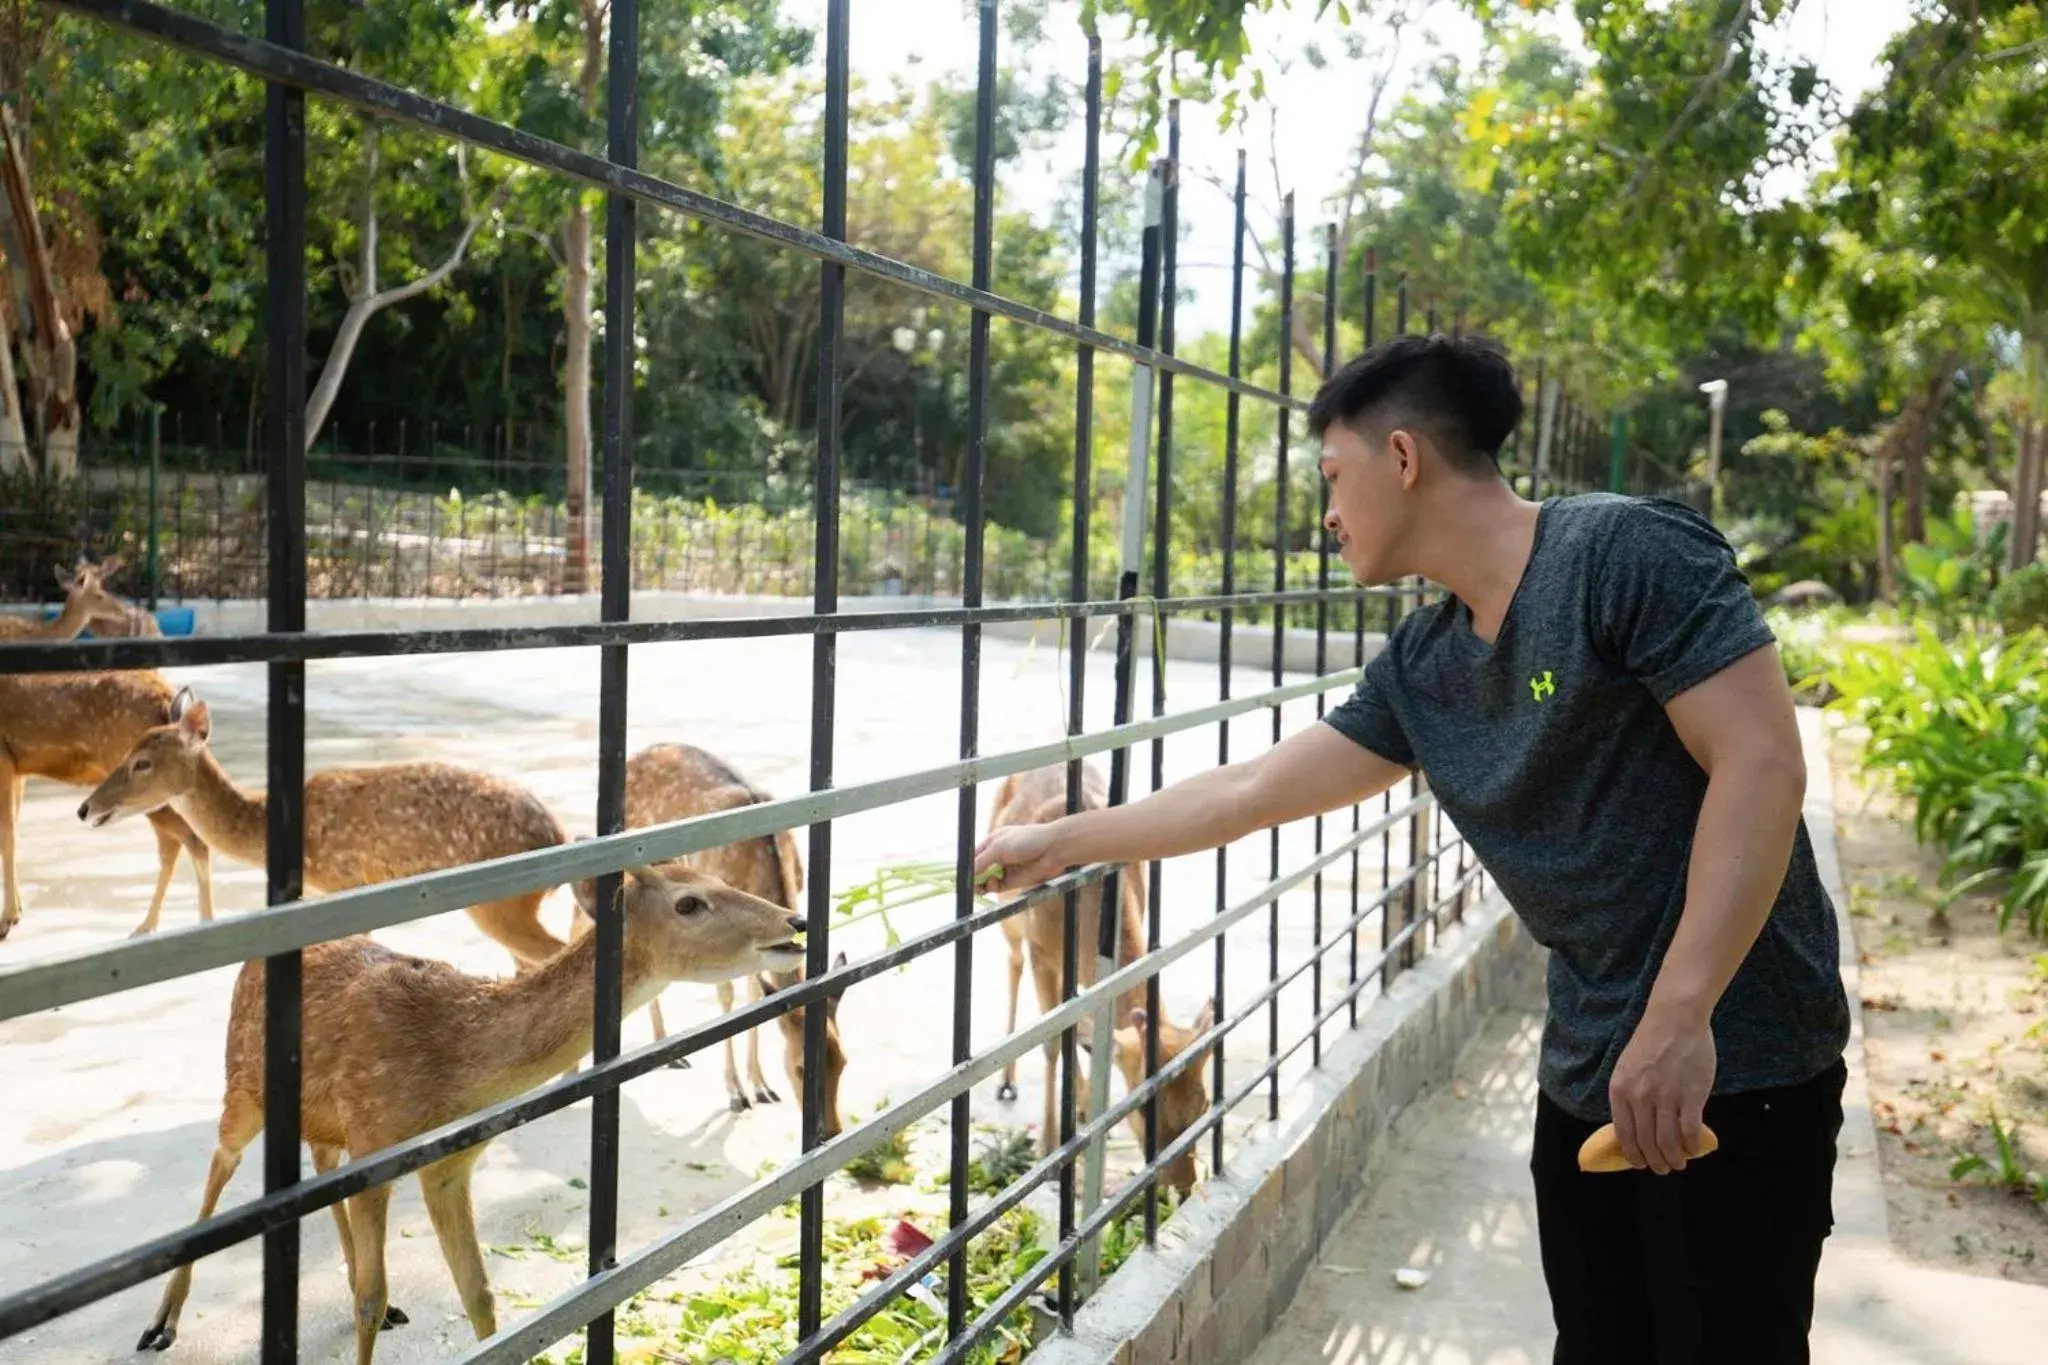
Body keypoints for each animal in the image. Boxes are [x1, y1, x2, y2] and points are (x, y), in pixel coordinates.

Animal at [76, 695, 573, 970]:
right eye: (127, 751)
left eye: (142, 763)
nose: (85, 808)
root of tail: (558, 835)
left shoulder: (346, 883)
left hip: (503, 905)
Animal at [134, 863, 806, 1365]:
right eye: (689, 903)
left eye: (722, 877)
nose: (794, 921)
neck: (451, 1068)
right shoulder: (375, 1141)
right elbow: (369, 1300)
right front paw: (376, 1303)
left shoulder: (450, 1163)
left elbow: (479, 1293)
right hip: (241, 1076)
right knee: (220, 1164)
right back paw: (161, 1323)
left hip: (320, 1115)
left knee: (319, 1161)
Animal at [565, 749, 843, 1146]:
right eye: (802, 1068)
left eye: (844, 1061)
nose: (832, 1131)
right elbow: (727, 997)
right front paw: (736, 1093)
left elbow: (755, 992)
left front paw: (761, 1086)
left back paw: (666, 1046)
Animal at [987, 765, 1212, 1203]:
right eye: (1143, 1108)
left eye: (1204, 1103)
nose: (1183, 1185)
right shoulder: (1042, 952)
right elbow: (1052, 1043)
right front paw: (1049, 1150)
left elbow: (1090, 1035)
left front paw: (1088, 1115)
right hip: (1010, 922)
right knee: (1012, 962)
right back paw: (1007, 1081)